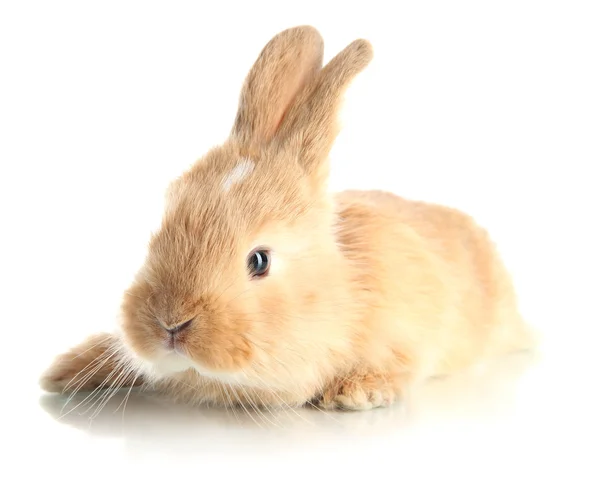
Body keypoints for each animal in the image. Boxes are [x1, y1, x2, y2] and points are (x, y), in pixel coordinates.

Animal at [38, 25, 536, 412]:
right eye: (157, 234)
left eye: (259, 261)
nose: (171, 323)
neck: (341, 289)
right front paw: (64, 371)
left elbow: (401, 367)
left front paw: (354, 392)